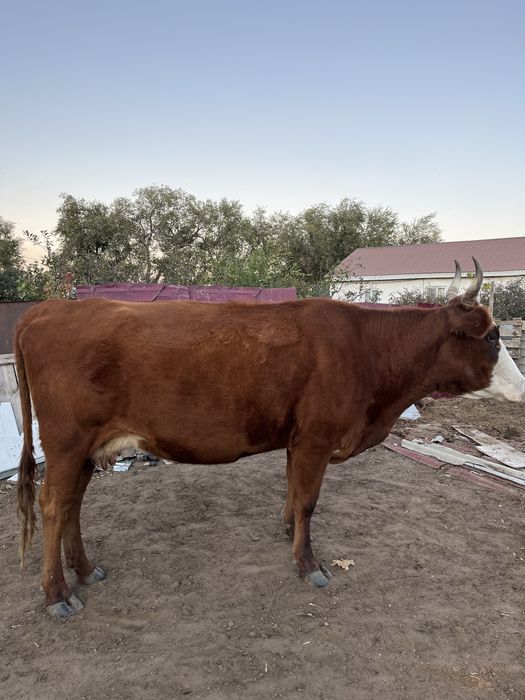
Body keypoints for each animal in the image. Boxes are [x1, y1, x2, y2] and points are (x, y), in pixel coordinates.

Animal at [15, 259, 525, 619]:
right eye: (491, 336)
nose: (521, 387)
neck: (368, 351)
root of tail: (51, 307)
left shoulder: (297, 439)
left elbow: (293, 492)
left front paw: (287, 534)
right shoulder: (317, 437)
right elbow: (308, 502)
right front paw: (309, 565)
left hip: (86, 449)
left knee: (73, 505)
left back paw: (85, 571)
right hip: (66, 442)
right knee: (55, 505)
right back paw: (57, 595)